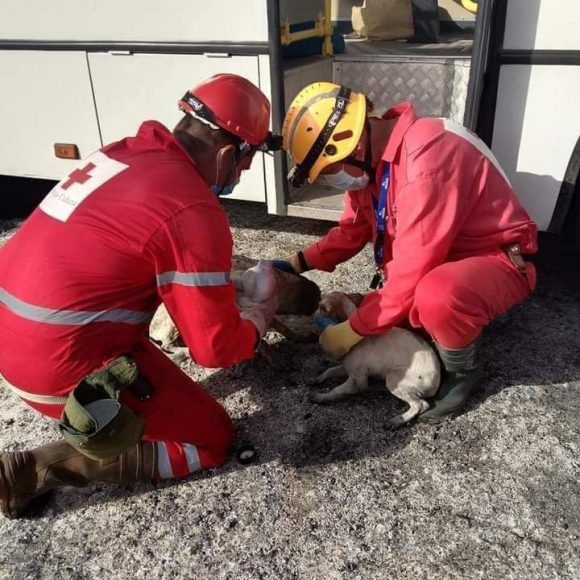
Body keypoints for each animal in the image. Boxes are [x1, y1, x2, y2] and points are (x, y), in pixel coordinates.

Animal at [308, 292, 440, 428]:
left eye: (320, 307)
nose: (313, 314)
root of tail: (436, 383)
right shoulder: (347, 368)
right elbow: (329, 370)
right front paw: (317, 379)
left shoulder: (357, 380)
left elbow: (336, 390)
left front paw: (321, 397)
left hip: (394, 378)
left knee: (420, 404)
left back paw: (397, 420)